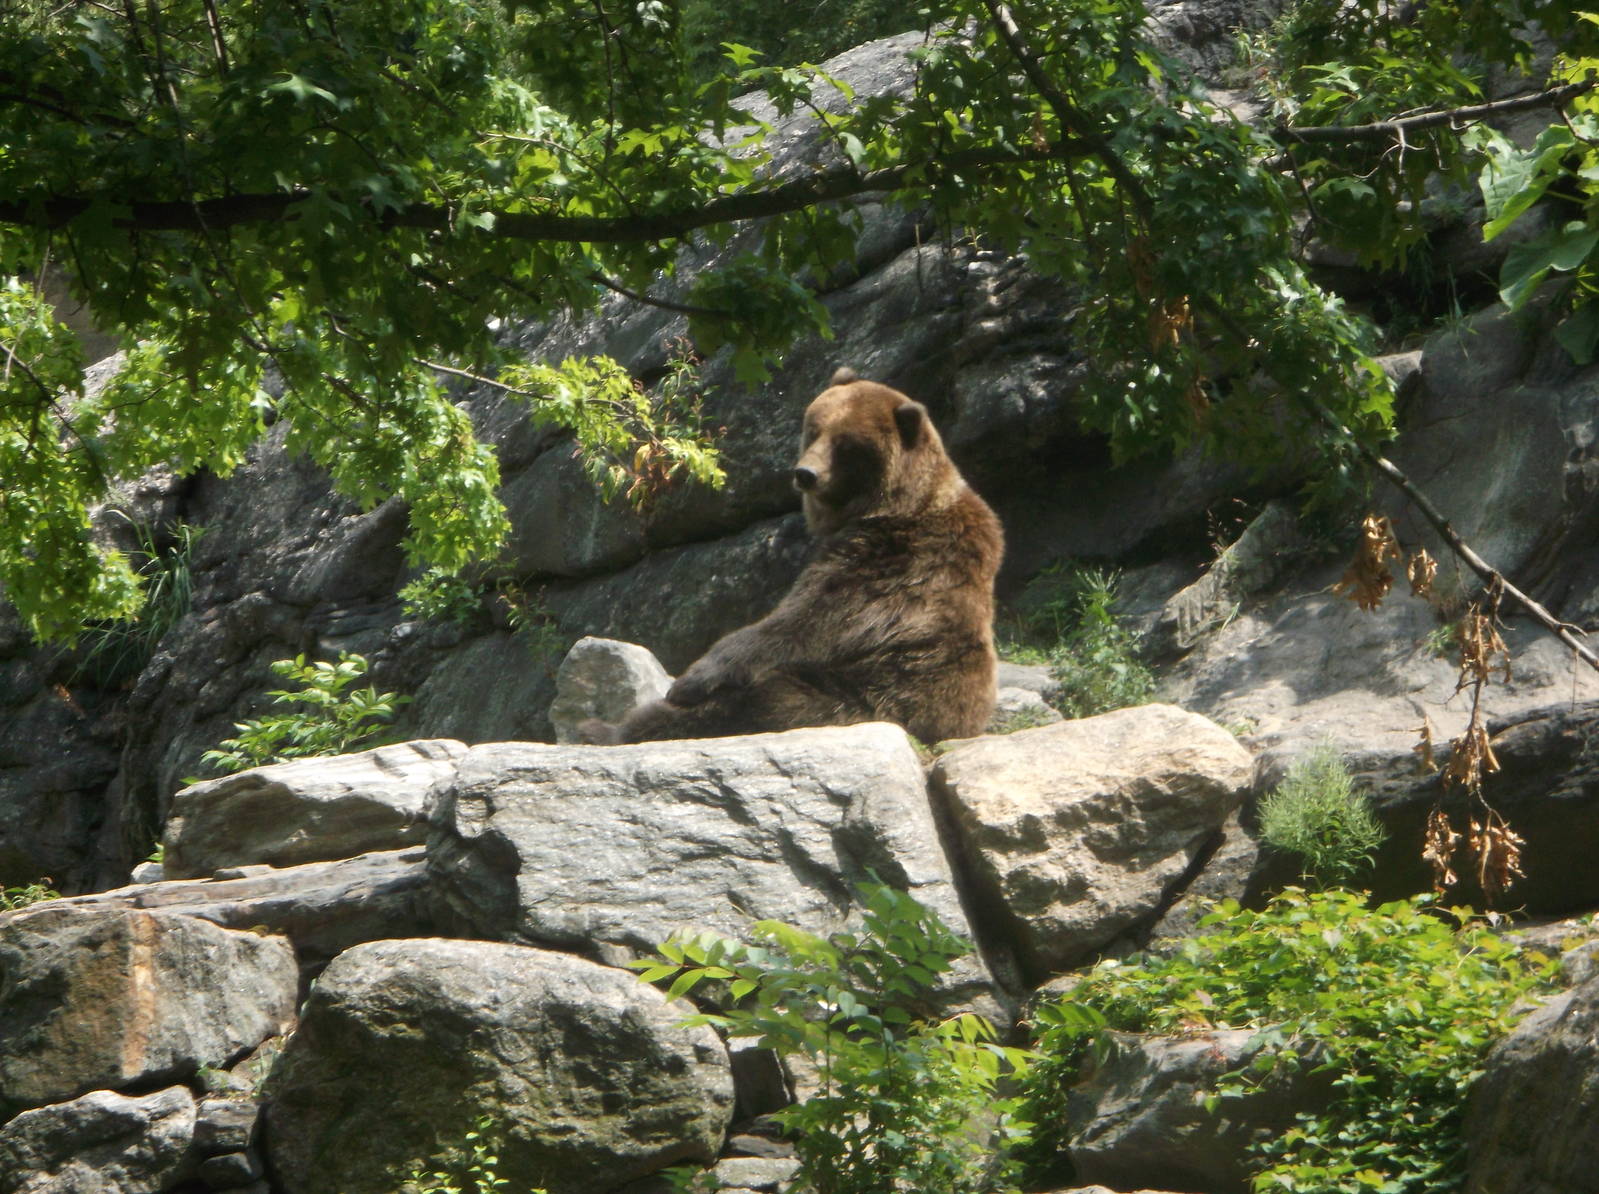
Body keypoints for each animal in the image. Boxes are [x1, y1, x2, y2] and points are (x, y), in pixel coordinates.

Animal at [586, 368, 1005, 745]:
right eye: (815, 429)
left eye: (847, 445)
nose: (806, 473)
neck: (886, 506)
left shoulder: (885, 559)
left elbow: (806, 621)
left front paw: (690, 679)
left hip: (875, 690)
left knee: (758, 700)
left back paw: (609, 728)